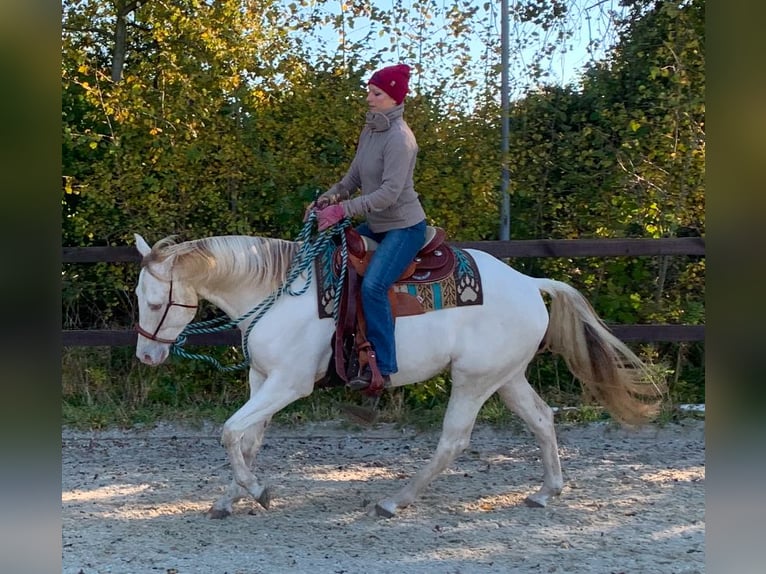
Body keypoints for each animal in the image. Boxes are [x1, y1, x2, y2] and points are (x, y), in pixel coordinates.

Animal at [135, 232, 664, 520]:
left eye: (157, 302)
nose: (146, 355)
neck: (278, 293)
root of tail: (530, 284)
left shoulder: (289, 383)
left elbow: (229, 433)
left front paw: (259, 492)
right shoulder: (261, 380)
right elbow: (247, 441)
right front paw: (232, 498)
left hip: (473, 380)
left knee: (453, 440)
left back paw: (395, 501)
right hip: (507, 376)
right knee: (541, 419)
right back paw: (546, 492)